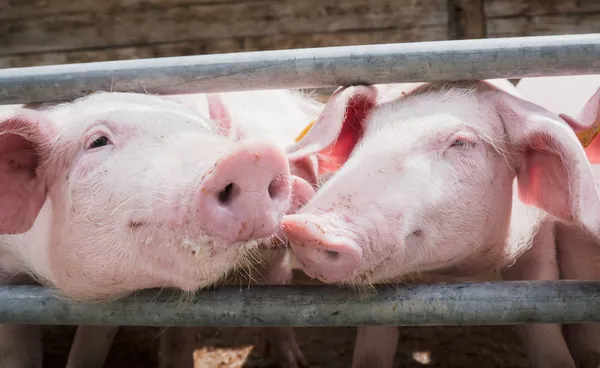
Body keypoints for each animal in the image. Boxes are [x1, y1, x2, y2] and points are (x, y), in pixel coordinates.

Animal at [278, 79, 600, 366]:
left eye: (460, 142)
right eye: (365, 135)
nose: (306, 228)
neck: (461, 272)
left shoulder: (539, 251)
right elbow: (372, 352)